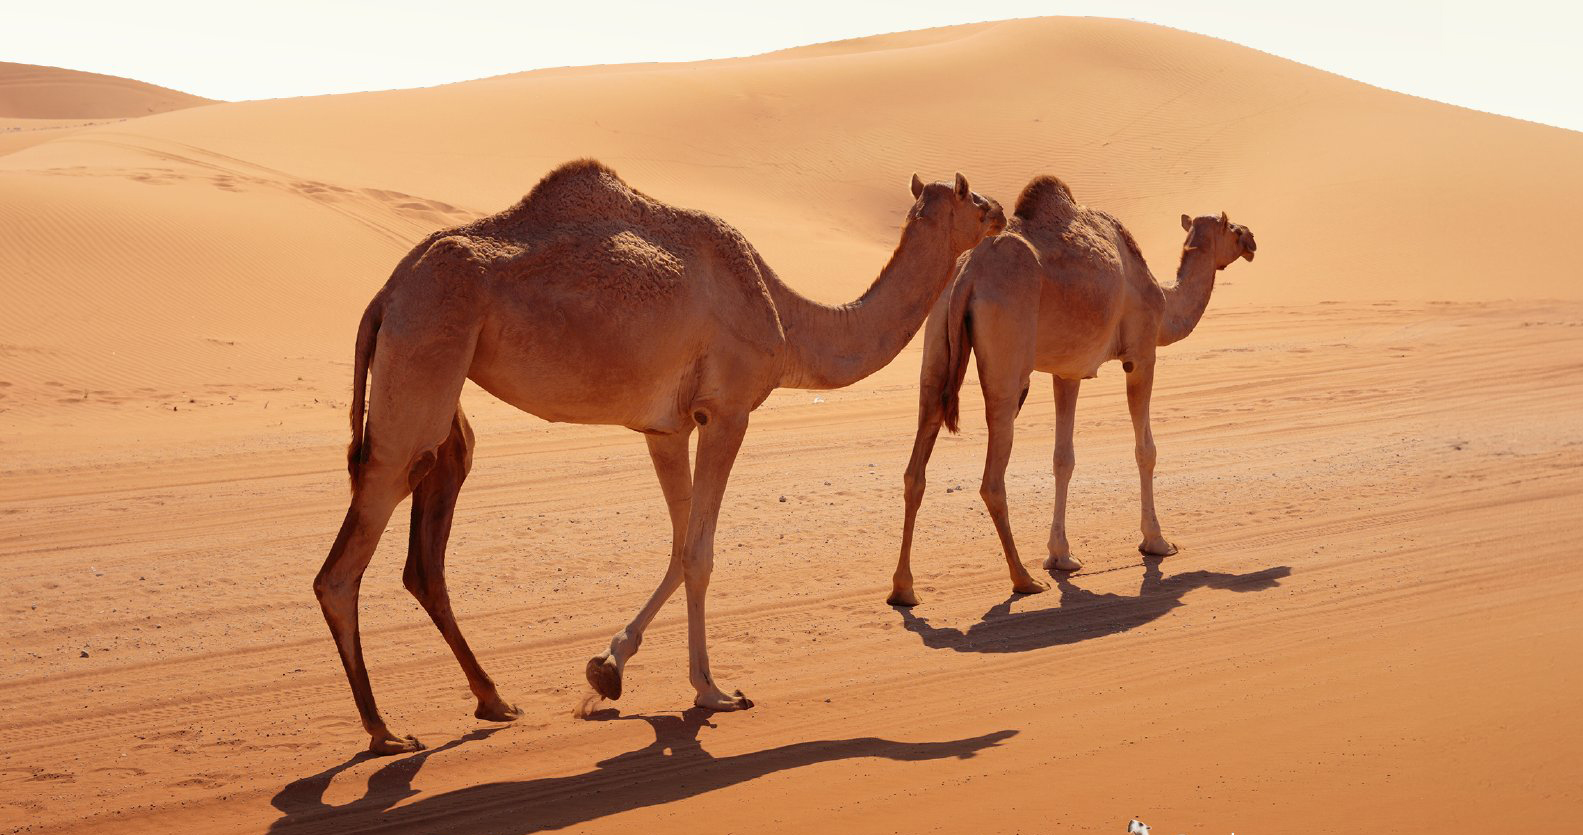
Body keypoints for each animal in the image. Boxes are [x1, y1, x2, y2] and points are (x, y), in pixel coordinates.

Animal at [314, 159, 1006, 753]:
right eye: (971, 196)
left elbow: (679, 544)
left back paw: (493, 701)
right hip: (424, 357)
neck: (789, 320)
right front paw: (712, 691)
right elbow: (700, 551)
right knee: (346, 561)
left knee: (424, 543)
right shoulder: (728, 411)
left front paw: (607, 669)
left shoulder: (665, 426)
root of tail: (387, 292)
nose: (1001, 212)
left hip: (438, 382)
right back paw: (384, 732)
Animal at [888, 175, 1256, 606]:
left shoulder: (1068, 372)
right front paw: (1156, 541)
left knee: (917, 462)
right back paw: (1023, 579)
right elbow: (1145, 450)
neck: (1164, 300)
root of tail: (967, 274)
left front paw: (1061, 556)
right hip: (1007, 359)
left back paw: (903, 589)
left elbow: (1063, 458)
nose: (1252, 238)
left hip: (935, 339)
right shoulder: (1142, 352)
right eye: (1232, 228)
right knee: (992, 475)